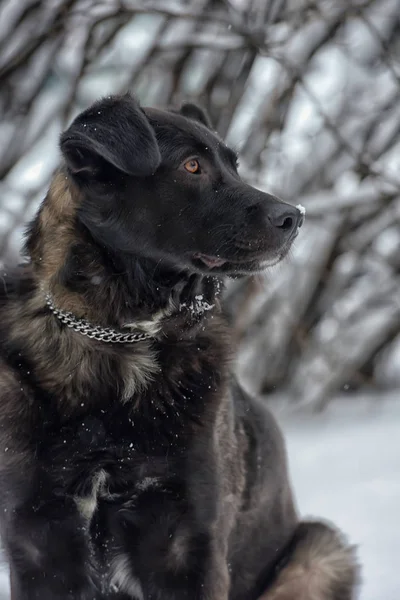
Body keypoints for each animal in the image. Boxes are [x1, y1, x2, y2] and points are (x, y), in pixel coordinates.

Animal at [0, 95, 358, 600]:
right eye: (192, 166)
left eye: (234, 166)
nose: (295, 216)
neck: (124, 341)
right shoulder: (38, 542)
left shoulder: (186, 543)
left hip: (319, 553)